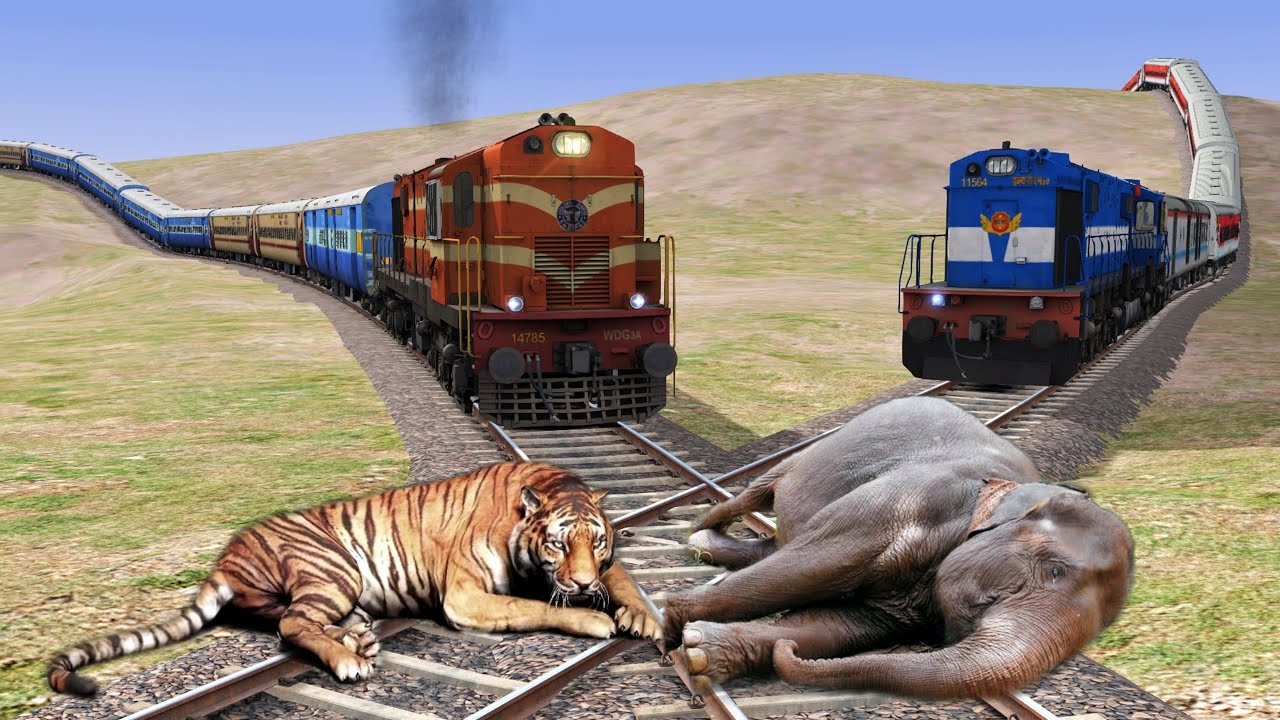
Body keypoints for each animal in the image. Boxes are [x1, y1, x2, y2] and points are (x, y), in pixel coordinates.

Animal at [48, 462, 662, 695]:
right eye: (558, 542)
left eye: (597, 541)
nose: (581, 583)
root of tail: (226, 554)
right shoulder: (465, 596)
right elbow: (535, 607)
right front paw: (593, 619)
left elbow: (626, 580)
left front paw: (644, 617)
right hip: (332, 565)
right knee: (293, 624)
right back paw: (350, 659)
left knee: (286, 617)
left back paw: (358, 636)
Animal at [662, 396, 1134, 700]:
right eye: (1054, 570)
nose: (788, 652)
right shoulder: (908, 500)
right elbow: (810, 565)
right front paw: (669, 630)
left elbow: (837, 625)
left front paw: (701, 652)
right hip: (809, 455)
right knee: (759, 503)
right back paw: (698, 533)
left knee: (777, 545)